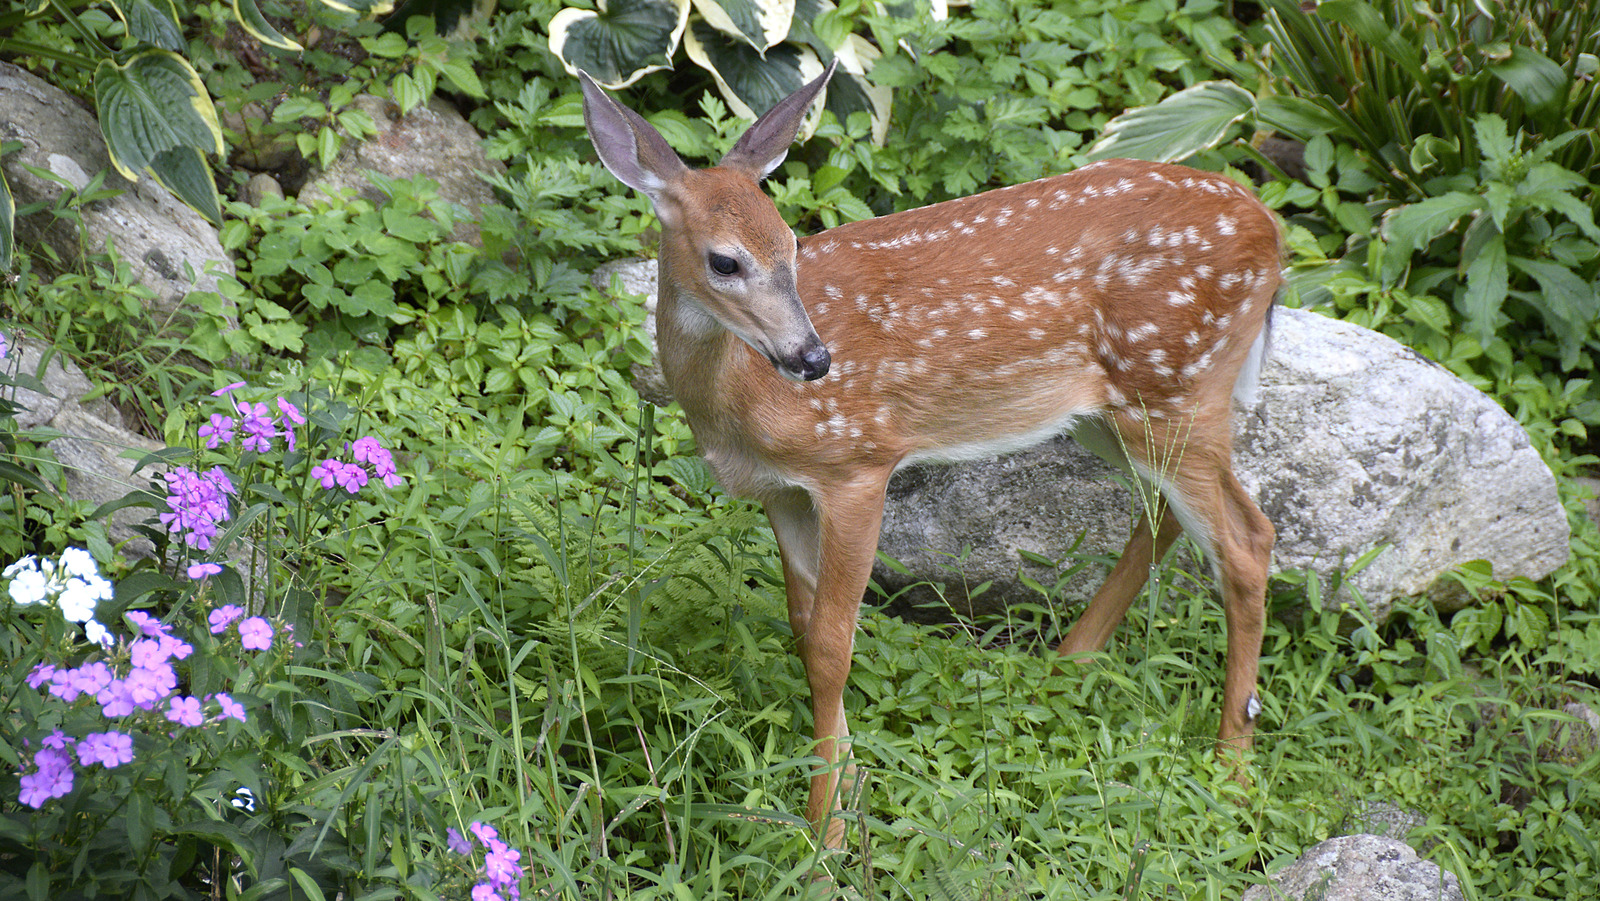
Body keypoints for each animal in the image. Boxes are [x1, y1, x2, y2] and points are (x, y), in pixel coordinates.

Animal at [579, 62, 1279, 851]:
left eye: (791, 244)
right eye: (724, 260)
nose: (814, 358)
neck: (742, 402)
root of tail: (1272, 232)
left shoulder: (858, 462)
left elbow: (832, 645)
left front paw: (827, 835)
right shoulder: (782, 491)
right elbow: (804, 626)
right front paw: (850, 787)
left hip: (1176, 382)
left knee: (1247, 539)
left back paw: (1232, 767)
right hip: (1116, 409)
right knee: (1172, 517)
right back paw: (1067, 663)